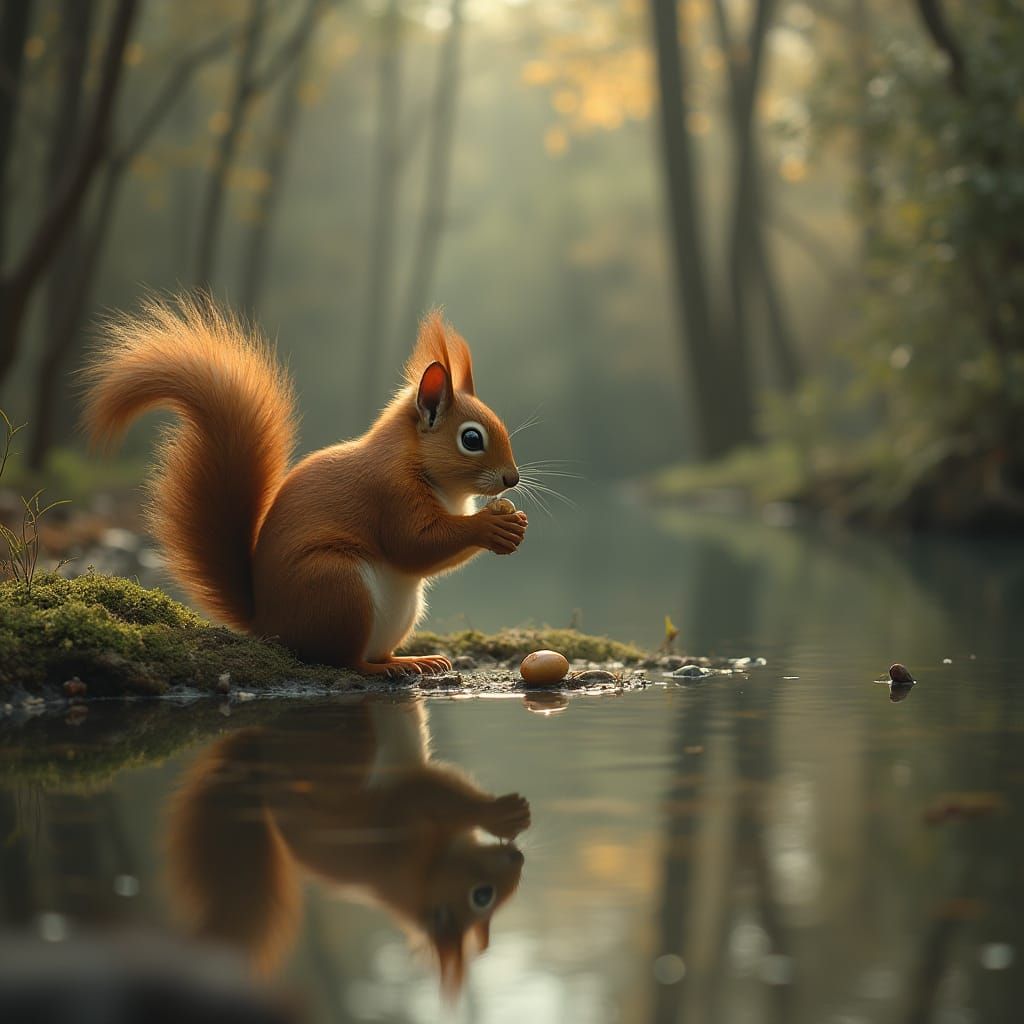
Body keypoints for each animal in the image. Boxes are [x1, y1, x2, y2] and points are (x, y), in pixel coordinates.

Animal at [83, 295, 528, 675]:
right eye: (471, 439)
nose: (512, 478)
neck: (439, 483)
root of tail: (269, 625)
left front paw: (513, 526)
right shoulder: (389, 493)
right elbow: (414, 544)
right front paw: (491, 526)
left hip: (397, 610)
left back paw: (415, 659)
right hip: (337, 587)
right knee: (342, 659)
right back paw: (382, 668)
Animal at [166, 697, 531, 995]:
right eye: (482, 896)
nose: (518, 859)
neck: (424, 879)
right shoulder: (409, 810)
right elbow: (453, 796)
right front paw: (504, 815)